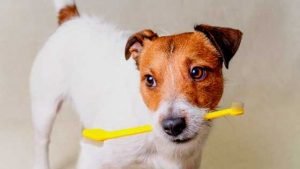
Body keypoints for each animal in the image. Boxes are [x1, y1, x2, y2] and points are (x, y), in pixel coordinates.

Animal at [30, 0, 241, 169]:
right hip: (45, 109)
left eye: (197, 72)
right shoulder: (93, 157)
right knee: (41, 142)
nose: (172, 126)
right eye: (149, 79)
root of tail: (72, 20)